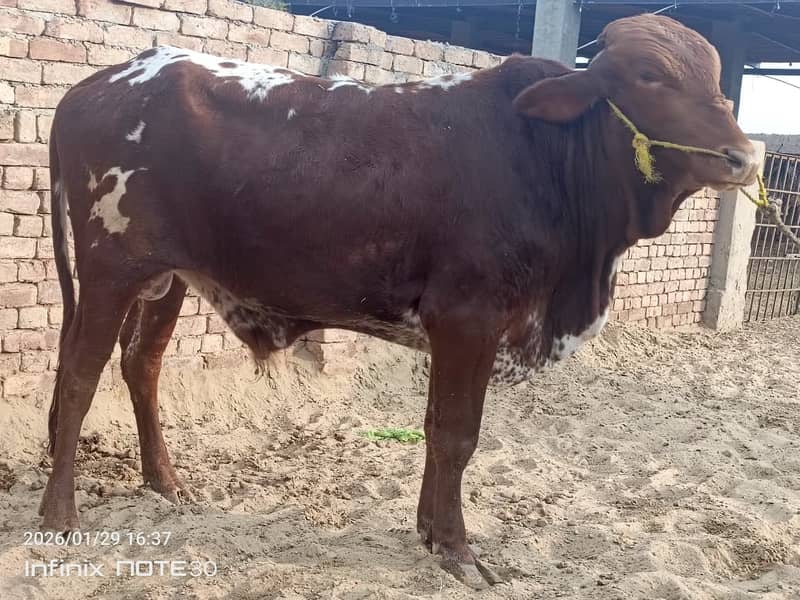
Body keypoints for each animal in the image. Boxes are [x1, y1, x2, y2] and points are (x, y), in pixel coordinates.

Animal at [40, 13, 758, 588]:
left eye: (717, 80)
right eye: (649, 75)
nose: (742, 156)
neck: (544, 158)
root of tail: (95, 86)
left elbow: (440, 431)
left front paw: (431, 533)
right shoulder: (468, 320)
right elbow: (456, 435)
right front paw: (458, 549)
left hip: (170, 278)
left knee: (141, 365)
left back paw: (164, 481)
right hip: (109, 269)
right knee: (77, 376)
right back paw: (59, 514)